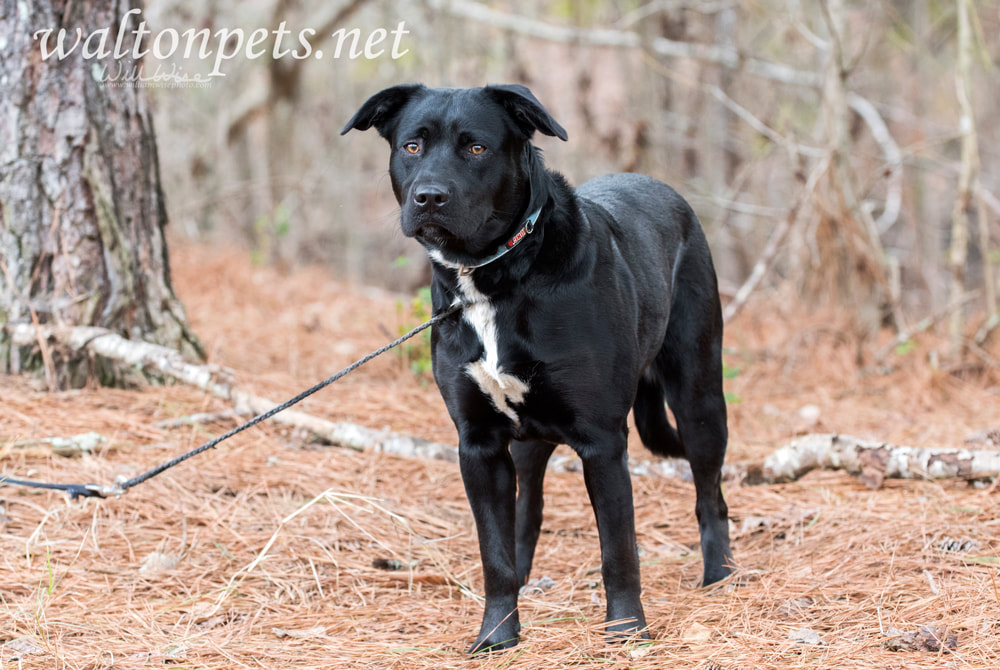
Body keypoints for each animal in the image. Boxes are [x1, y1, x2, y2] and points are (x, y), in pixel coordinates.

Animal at [340, 85, 732, 656]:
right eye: (412, 145)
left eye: (476, 148)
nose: (429, 197)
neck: (495, 276)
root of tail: (662, 188)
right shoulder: (479, 445)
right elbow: (495, 553)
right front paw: (497, 634)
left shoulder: (602, 443)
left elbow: (618, 550)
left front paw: (626, 630)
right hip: (526, 443)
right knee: (528, 511)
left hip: (699, 397)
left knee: (710, 494)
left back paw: (720, 574)